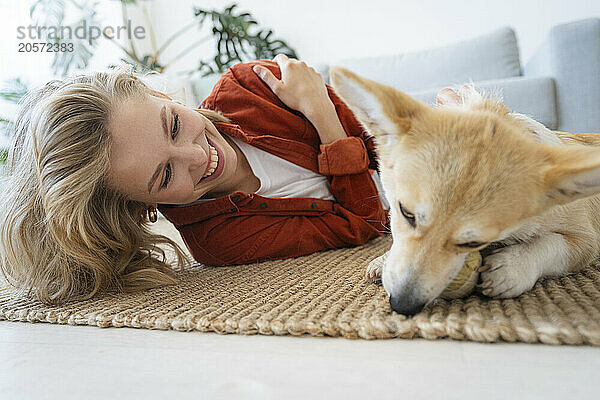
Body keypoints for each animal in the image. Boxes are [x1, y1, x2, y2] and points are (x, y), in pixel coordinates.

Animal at [330, 66, 600, 316]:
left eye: (473, 243)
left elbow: (552, 244)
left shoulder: (586, 241)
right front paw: (382, 260)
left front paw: (511, 268)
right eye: (406, 212)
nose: (401, 305)